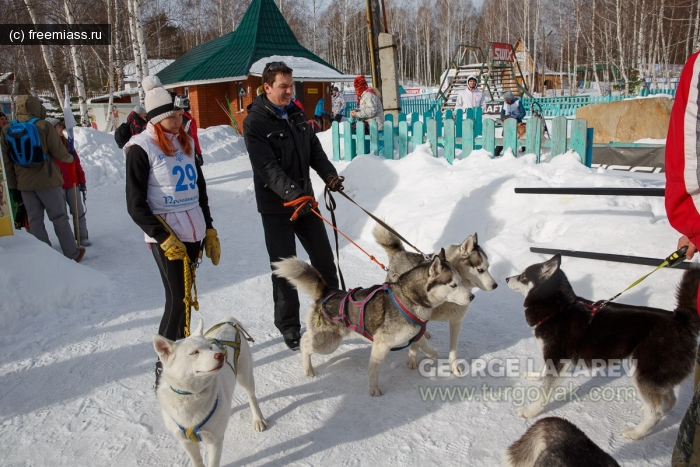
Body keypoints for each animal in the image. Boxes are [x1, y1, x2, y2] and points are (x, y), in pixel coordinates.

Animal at [154, 320, 266, 466]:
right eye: (194, 352)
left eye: (210, 347)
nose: (221, 355)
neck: (192, 395)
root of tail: (228, 321)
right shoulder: (186, 442)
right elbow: (196, 461)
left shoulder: (215, 440)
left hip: (245, 376)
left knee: (251, 396)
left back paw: (258, 419)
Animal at [270, 250, 474, 396]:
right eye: (453, 285)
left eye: (461, 281)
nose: (471, 297)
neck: (408, 298)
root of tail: (328, 292)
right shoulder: (381, 345)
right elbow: (374, 370)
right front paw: (373, 389)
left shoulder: (413, 331)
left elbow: (424, 345)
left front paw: (432, 354)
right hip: (328, 342)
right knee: (305, 342)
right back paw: (308, 368)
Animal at [372, 224, 498, 376]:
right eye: (480, 270)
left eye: (488, 267)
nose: (495, 285)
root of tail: (401, 253)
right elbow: (415, 343)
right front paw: (412, 358)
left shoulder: (456, 322)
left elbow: (453, 349)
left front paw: (454, 367)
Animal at [506, 254, 700, 440]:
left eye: (523, 276)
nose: (507, 278)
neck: (559, 309)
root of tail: (681, 320)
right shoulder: (552, 356)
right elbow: (543, 370)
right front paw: (535, 376)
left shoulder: (559, 359)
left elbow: (544, 392)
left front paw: (531, 411)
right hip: (655, 374)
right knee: (669, 400)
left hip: (642, 371)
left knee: (657, 412)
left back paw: (637, 432)